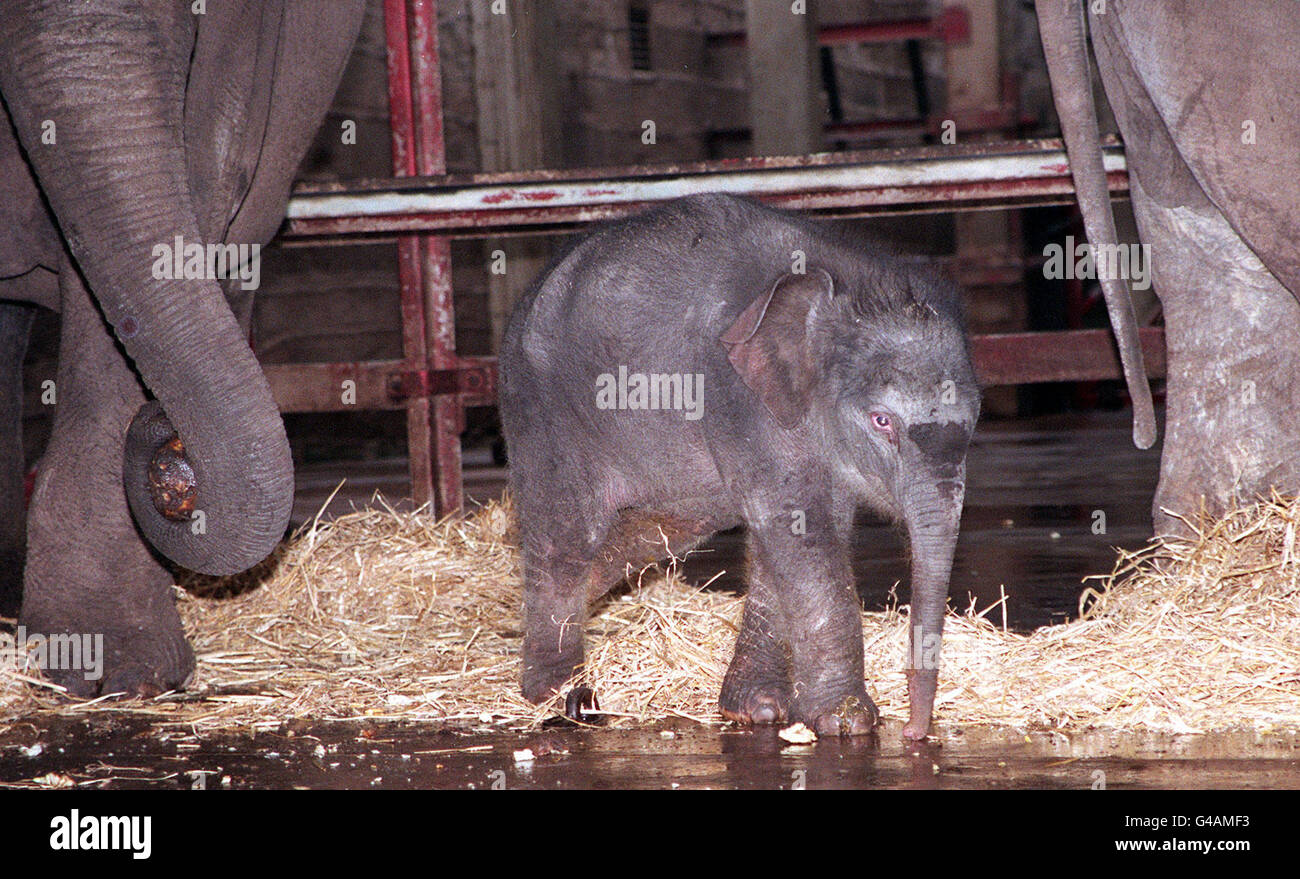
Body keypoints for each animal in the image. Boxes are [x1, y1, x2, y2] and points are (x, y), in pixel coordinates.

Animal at [501, 196, 977, 738]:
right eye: (882, 421)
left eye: (974, 420)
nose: (915, 734)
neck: (847, 278)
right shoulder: (735, 391)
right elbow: (798, 527)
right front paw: (849, 722)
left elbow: (802, 528)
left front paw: (758, 710)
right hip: (544, 407)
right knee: (566, 534)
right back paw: (560, 694)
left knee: (657, 529)